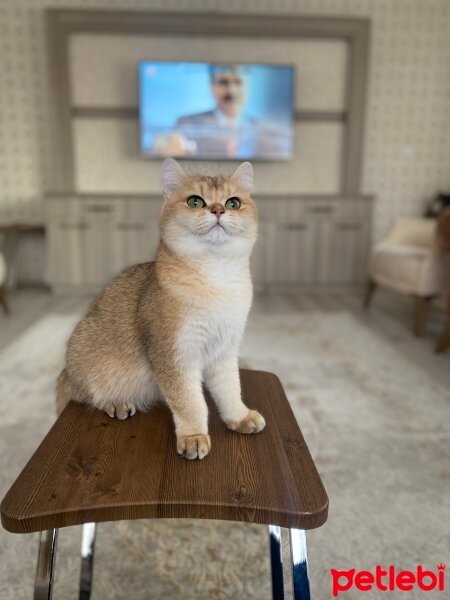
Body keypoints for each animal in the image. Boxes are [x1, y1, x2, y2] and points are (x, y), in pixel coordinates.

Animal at [57, 159, 266, 460]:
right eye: (195, 201)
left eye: (234, 202)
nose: (218, 210)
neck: (217, 279)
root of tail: (66, 374)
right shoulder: (173, 353)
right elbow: (189, 401)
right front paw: (193, 437)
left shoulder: (225, 350)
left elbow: (229, 388)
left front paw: (239, 417)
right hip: (86, 352)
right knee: (86, 395)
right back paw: (116, 402)